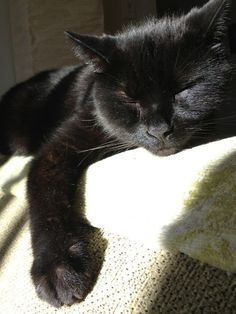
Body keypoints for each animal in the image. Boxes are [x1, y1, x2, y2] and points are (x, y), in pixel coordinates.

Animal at [0, 0, 236, 306]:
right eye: (129, 99)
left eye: (183, 90)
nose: (159, 130)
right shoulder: (58, 149)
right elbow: (45, 200)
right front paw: (58, 269)